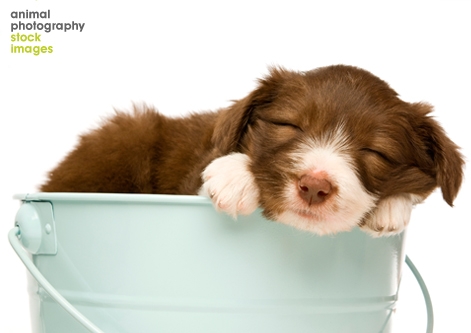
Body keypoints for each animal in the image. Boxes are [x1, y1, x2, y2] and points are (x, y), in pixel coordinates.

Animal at [41, 65, 464, 236]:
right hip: (128, 131)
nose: (315, 186)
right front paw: (234, 177)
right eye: (290, 126)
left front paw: (392, 207)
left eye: (377, 153)